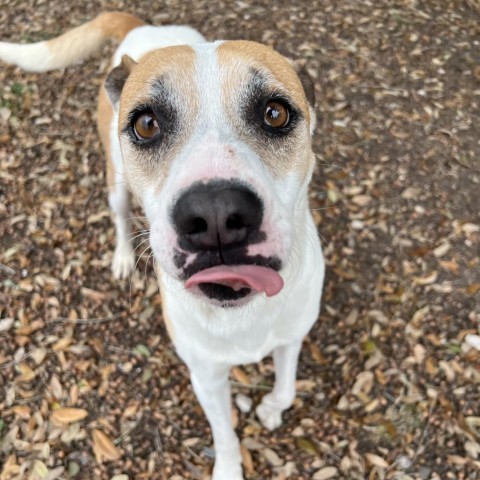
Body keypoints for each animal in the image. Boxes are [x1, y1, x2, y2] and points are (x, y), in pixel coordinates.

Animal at [0, 12, 326, 480]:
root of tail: (138, 25)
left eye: (276, 113)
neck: (240, 314)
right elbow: (224, 434)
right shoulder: (206, 376)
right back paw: (122, 258)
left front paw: (270, 409)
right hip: (114, 181)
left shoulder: (292, 338)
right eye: (146, 123)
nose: (215, 214)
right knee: (120, 216)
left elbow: (285, 387)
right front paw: (229, 468)